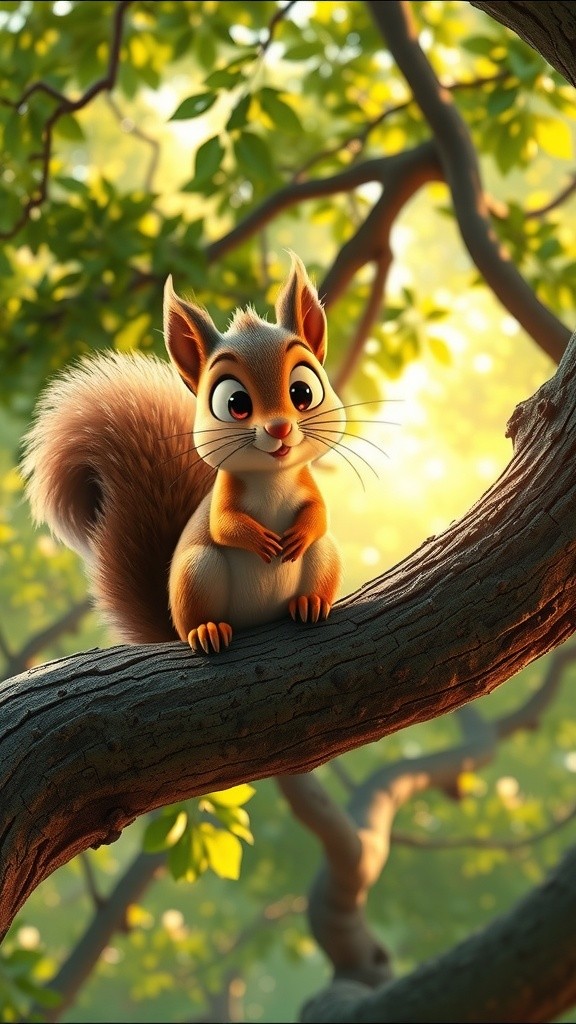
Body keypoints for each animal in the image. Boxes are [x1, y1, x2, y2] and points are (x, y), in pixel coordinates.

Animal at [22, 253, 344, 654]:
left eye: (303, 392)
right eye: (235, 403)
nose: (279, 429)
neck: (272, 478)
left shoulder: (307, 485)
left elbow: (320, 513)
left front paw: (299, 534)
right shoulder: (223, 497)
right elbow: (223, 525)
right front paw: (259, 540)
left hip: (324, 555)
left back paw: (310, 601)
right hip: (197, 571)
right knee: (198, 615)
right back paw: (207, 629)